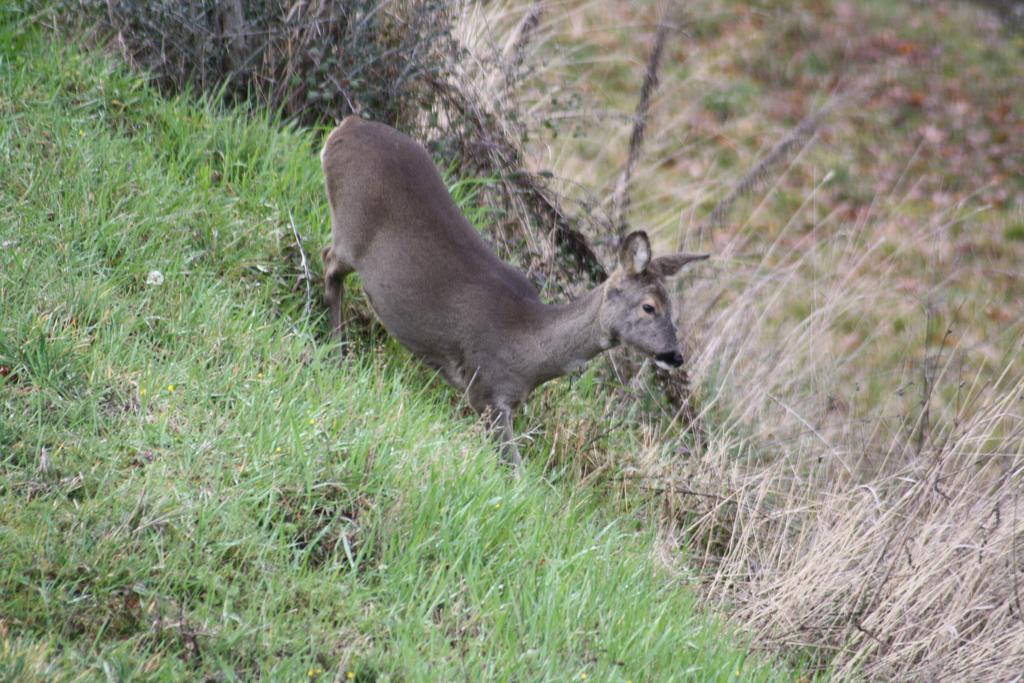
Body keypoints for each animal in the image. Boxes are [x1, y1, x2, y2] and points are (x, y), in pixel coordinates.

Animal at [319, 118, 704, 471]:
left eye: (673, 309)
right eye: (649, 307)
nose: (675, 355)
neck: (528, 350)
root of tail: (343, 128)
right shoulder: (486, 390)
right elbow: (514, 472)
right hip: (351, 232)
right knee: (328, 262)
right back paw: (337, 351)